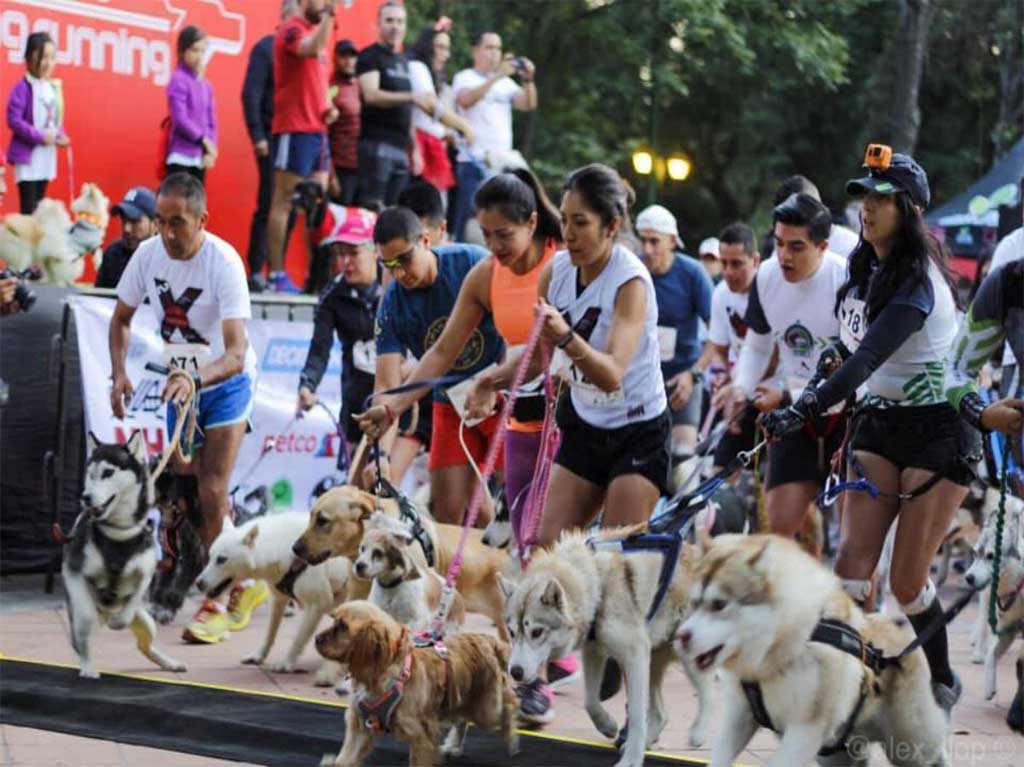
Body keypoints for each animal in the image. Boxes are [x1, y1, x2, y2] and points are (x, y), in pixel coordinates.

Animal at [193, 512, 350, 684]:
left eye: (221, 559)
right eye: (210, 557)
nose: (198, 583)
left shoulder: (316, 605)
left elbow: (298, 640)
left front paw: (286, 663)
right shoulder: (278, 601)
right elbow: (269, 633)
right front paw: (258, 656)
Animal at [313, 602, 520, 761]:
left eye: (343, 626)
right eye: (334, 620)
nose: (316, 638)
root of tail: (488, 640)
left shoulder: (422, 735)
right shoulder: (360, 728)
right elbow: (345, 760)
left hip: (486, 709)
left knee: (510, 704)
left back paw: (511, 740)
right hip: (464, 701)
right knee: (463, 719)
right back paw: (454, 746)